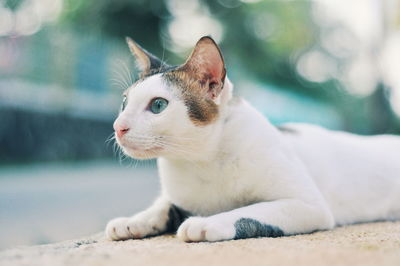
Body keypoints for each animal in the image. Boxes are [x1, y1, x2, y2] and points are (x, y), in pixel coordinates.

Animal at [105, 36, 400, 242]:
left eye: (158, 105)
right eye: (124, 103)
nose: (118, 126)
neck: (201, 160)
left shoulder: (309, 206)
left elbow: (249, 211)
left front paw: (207, 222)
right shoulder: (177, 195)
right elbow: (163, 205)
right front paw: (134, 221)